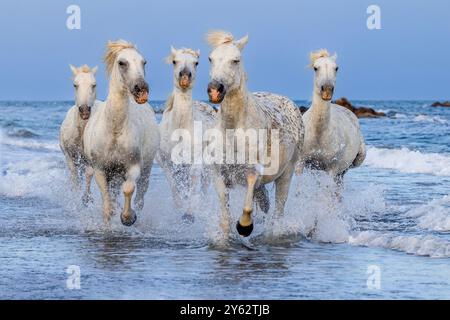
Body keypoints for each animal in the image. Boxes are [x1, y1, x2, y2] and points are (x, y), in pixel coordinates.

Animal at [59, 64, 100, 204]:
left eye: (94, 85)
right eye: (75, 85)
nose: (84, 111)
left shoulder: (91, 160)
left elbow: (89, 173)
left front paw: (86, 198)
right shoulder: (69, 156)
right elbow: (74, 176)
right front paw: (75, 194)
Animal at [84, 39, 160, 225]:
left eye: (144, 62)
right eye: (121, 63)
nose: (141, 88)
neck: (115, 130)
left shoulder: (133, 166)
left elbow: (128, 189)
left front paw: (128, 218)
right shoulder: (100, 170)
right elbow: (107, 203)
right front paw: (108, 222)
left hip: (145, 170)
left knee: (140, 195)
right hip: (114, 173)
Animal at [158, 47, 216, 221]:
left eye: (196, 62)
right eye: (174, 61)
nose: (184, 76)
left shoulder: (196, 161)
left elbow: (193, 184)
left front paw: (189, 214)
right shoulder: (165, 162)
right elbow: (173, 184)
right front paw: (179, 207)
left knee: (204, 188)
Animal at [206, 31, 304, 239]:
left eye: (236, 60)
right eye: (210, 58)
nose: (215, 90)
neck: (233, 132)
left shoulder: (253, 172)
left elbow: (248, 206)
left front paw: (244, 226)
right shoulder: (219, 174)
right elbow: (224, 218)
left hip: (287, 173)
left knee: (279, 209)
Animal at [300, 49, 364, 185]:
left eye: (336, 68)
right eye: (315, 68)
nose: (327, 91)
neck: (318, 132)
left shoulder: (331, 169)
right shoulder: (301, 163)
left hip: (343, 170)